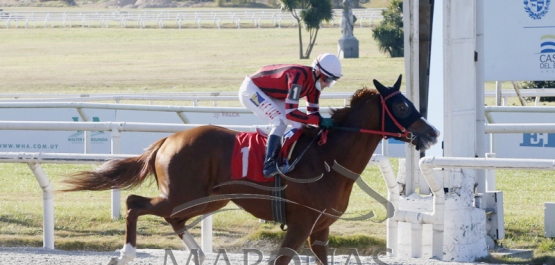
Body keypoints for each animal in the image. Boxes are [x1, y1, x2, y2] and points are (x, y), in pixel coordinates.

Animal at [63, 75, 440, 264]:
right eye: (402, 106)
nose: (432, 132)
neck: (328, 157)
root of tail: (169, 138)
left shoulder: (320, 229)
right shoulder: (301, 224)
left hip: (208, 199)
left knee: (173, 218)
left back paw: (199, 253)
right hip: (183, 194)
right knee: (135, 204)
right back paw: (127, 252)